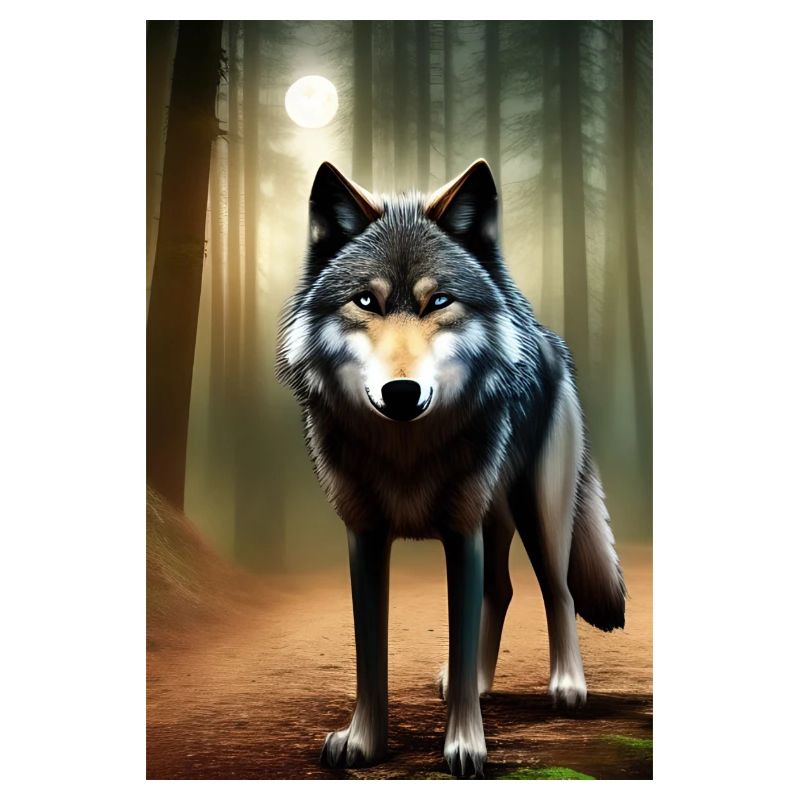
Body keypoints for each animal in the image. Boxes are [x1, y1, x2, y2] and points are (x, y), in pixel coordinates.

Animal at [276, 159, 626, 778]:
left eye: (439, 301)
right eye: (365, 301)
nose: (401, 393)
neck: (406, 451)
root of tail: (548, 338)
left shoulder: (461, 533)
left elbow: (461, 639)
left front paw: (465, 746)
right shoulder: (365, 537)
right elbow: (371, 652)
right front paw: (364, 743)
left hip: (538, 512)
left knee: (557, 591)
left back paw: (567, 686)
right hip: (495, 519)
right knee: (502, 590)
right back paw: (487, 683)